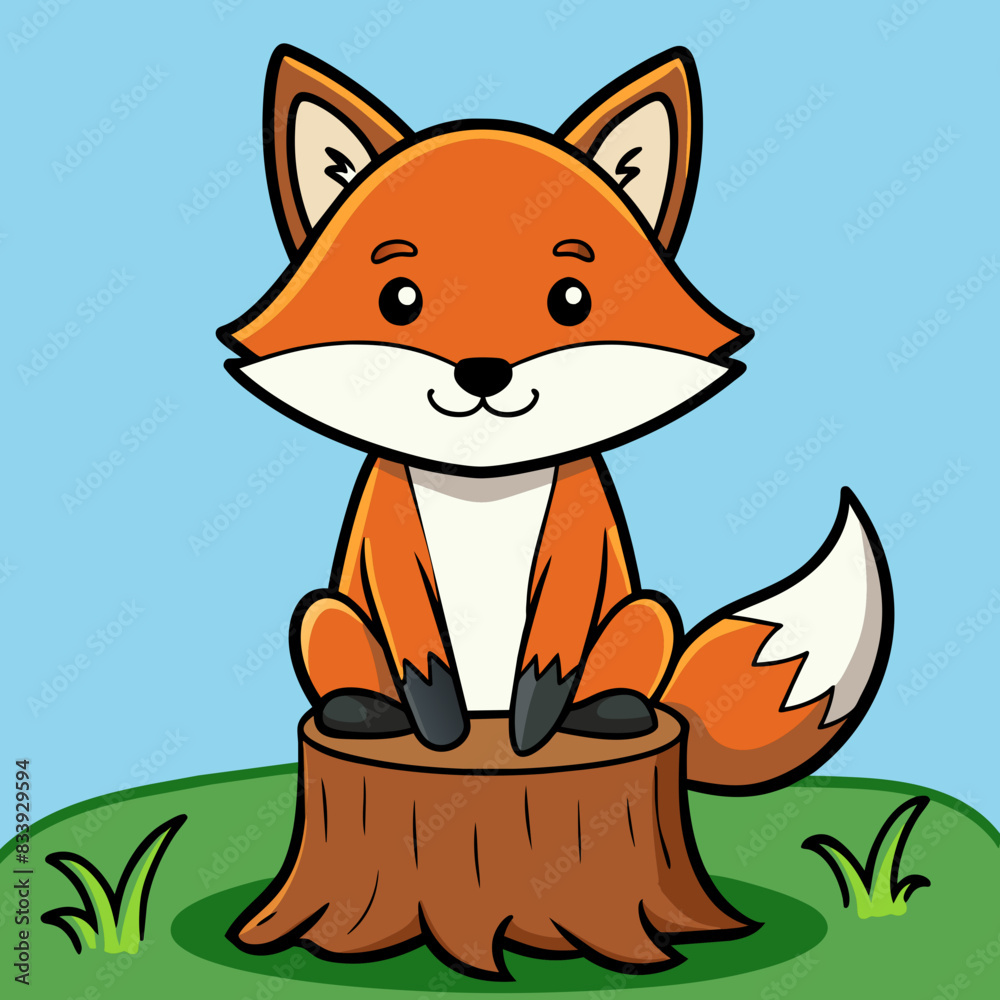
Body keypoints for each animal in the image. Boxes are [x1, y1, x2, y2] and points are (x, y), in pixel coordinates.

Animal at [218, 45, 892, 789]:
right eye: (399, 299)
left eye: (571, 299)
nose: (483, 372)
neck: (483, 481)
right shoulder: (386, 514)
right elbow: (417, 638)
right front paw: (439, 725)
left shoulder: (580, 516)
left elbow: (555, 639)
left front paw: (534, 723)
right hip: (328, 614)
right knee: (333, 634)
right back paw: (362, 710)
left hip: (641, 613)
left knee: (633, 645)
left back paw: (612, 710)